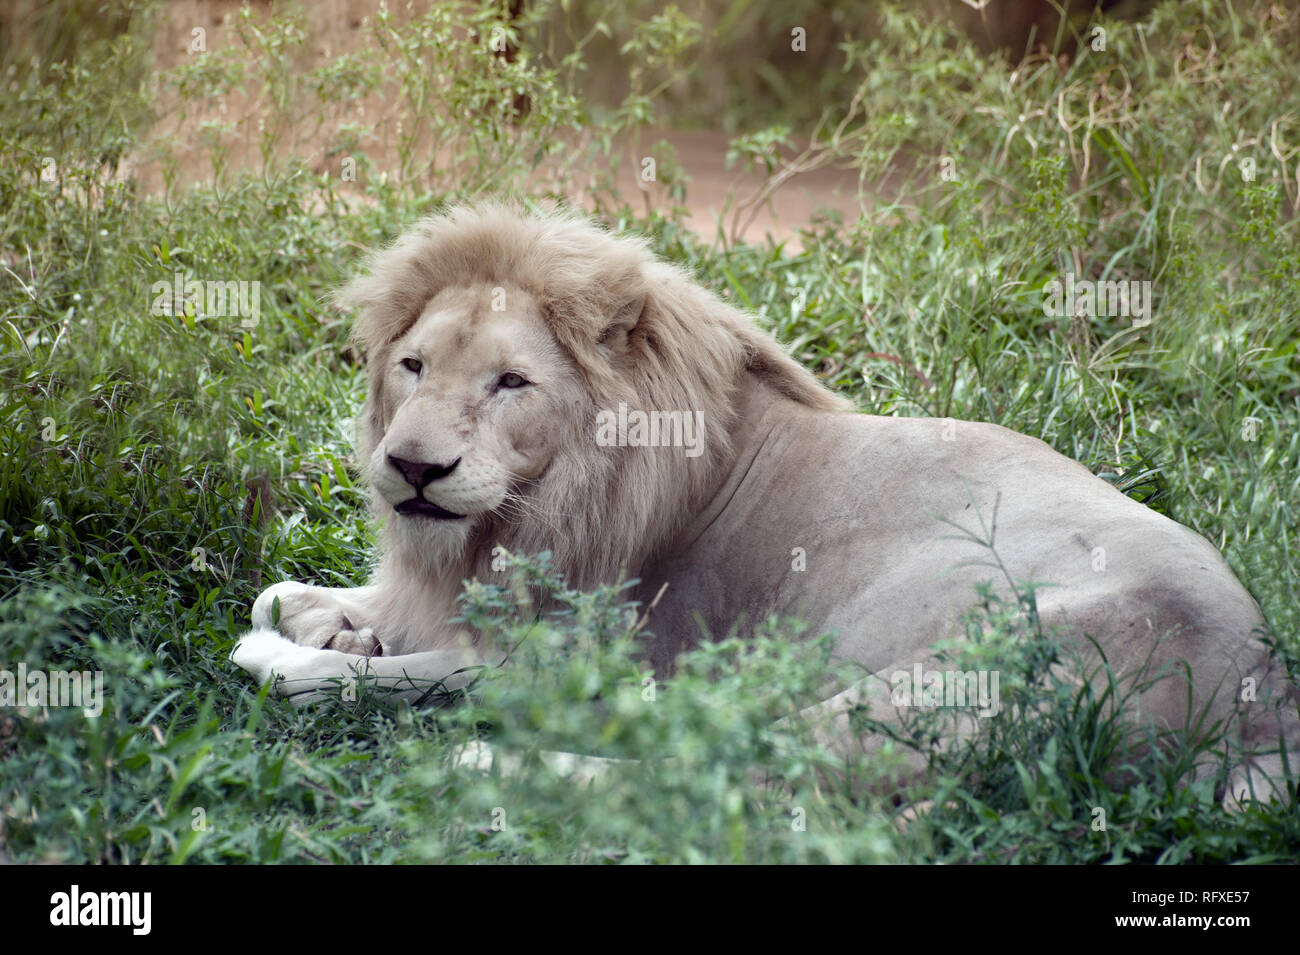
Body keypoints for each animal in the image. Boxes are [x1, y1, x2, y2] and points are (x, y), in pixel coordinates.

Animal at [232, 201, 1299, 807]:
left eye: (510, 383)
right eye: (413, 366)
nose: (411, 467)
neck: (539, 511)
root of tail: (1264, 694)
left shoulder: (580, 660)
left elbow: (410, 673)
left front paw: (300, 658)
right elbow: (292, 594)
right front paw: (333, 619)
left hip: (931, 684)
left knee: (744, 778)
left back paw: (484, 769)